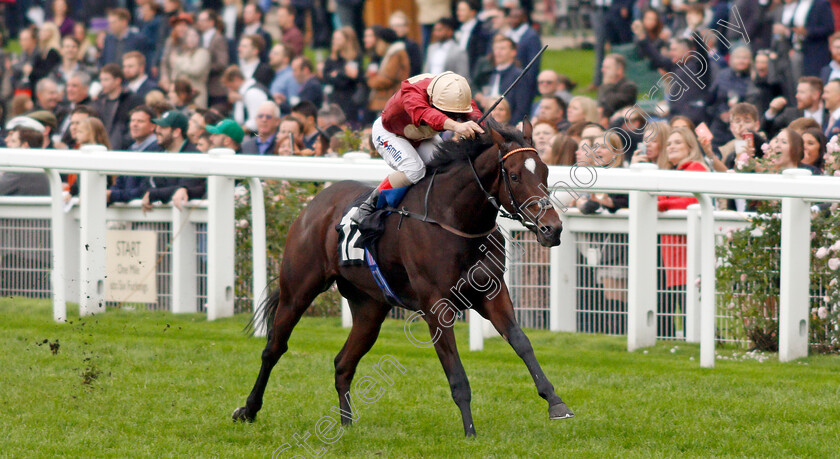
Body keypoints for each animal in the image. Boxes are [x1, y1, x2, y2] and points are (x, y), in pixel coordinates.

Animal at [236, 119, 576, 438]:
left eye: (545, 172)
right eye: (515, 176)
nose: (551, 229)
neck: (455, 219)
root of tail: (315, 203)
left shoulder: (492, 292)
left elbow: (522, 342)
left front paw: (556, 402)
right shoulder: (437, 306)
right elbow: (456, 373)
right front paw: (470, 431)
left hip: (369, 309)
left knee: (343, 364)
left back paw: (345, 425)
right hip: (298, 289)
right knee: (274, 348)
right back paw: (248, 409)